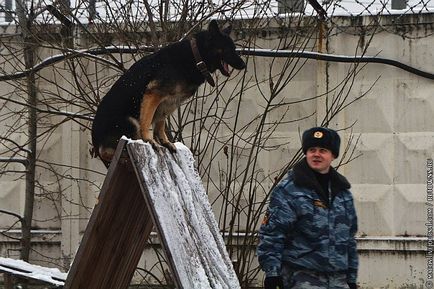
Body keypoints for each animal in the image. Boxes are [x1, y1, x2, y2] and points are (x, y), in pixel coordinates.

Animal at [90, 20, 244, 165]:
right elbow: (146, 121)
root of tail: (95, 145)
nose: (244, 65)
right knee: (114, 149)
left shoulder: (166, 103)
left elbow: (160, 125)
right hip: (130, 122)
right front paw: (149, 140)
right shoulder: (153, 94)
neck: (195, 57)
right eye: (228, 49)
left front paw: (165, 142)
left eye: (234, 48)